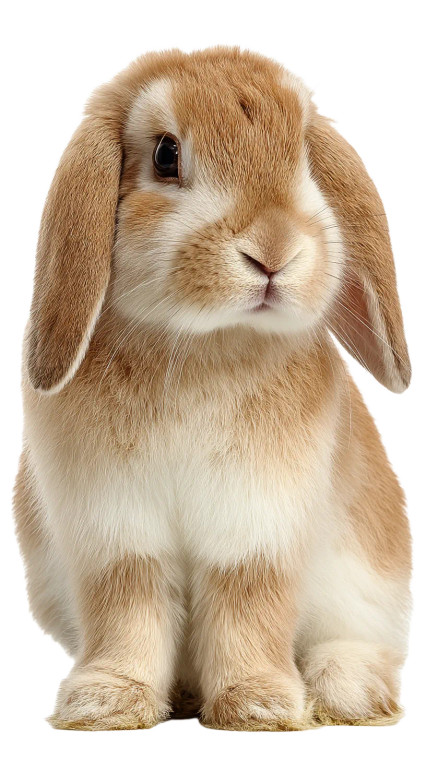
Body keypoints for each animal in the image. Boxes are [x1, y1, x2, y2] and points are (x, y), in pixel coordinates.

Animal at [14, 47, 411, 731]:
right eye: (165, 155)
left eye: (303, 153)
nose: (274, 251)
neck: (201, 344)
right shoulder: (117, 535)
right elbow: (128, 609)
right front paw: (105, 703)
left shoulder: (257, 529)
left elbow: (248, 603)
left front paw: (259, 706)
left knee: (359, 644)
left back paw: (345, 692)